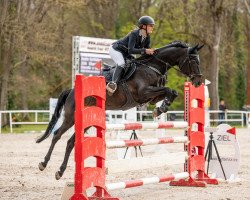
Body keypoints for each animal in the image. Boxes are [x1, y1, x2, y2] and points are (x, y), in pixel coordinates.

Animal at [35, 40, 203, 180]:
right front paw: (161, 108)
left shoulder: (151, 97)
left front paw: (160, 109)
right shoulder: (143, 93)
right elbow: (168, 90)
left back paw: (60, 171)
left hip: (90, 119)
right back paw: (44, 164)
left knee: (71, 142)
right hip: (71, 117)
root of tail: (72, 90)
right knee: (57, 135)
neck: (153, 67)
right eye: (194, 61)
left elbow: (171, 92)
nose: (198, 81)